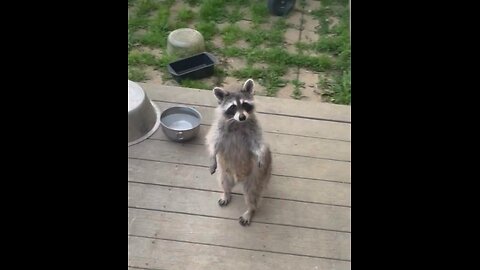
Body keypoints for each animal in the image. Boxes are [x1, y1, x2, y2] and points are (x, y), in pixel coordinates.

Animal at [205, 78, 272, 226]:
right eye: (233, 107)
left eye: (245, 104)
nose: (242, 117)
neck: (237, 123)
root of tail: (238, 180)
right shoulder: (219, 129)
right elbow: (214, 142)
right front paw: (212, 157)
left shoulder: (254, 129)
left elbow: (257, 144)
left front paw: (260, 154)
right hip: (225, 173)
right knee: (224, 183)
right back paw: (226, 193)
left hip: (254, 178)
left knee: (253, 195)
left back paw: (250, 210)